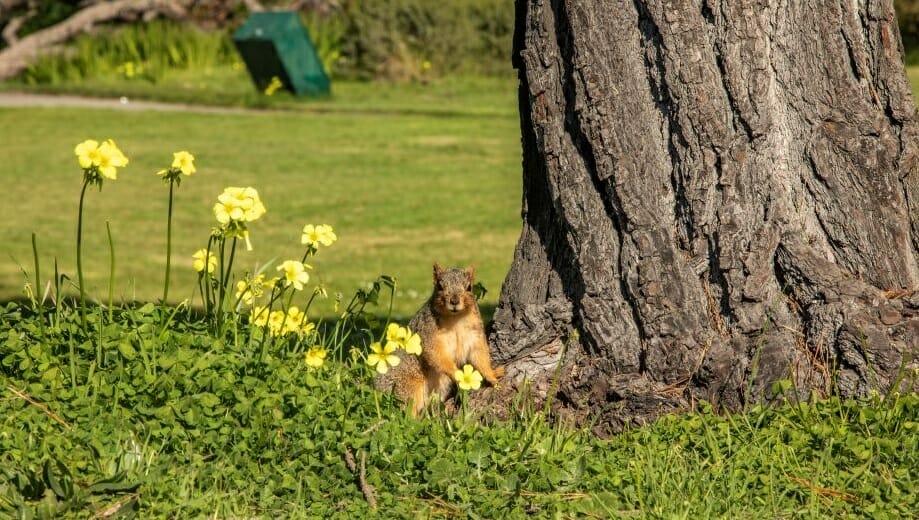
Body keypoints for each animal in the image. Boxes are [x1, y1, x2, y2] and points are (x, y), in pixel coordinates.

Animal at [374, 264, 504, 414]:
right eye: (439, 286)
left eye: (469, 287)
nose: (454, 301)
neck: (455, 319)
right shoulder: (428, 335)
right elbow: (437, 356)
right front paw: (457, 374)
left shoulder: (474, 336)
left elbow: (480, 356)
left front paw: (493, 376)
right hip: (406, 388)